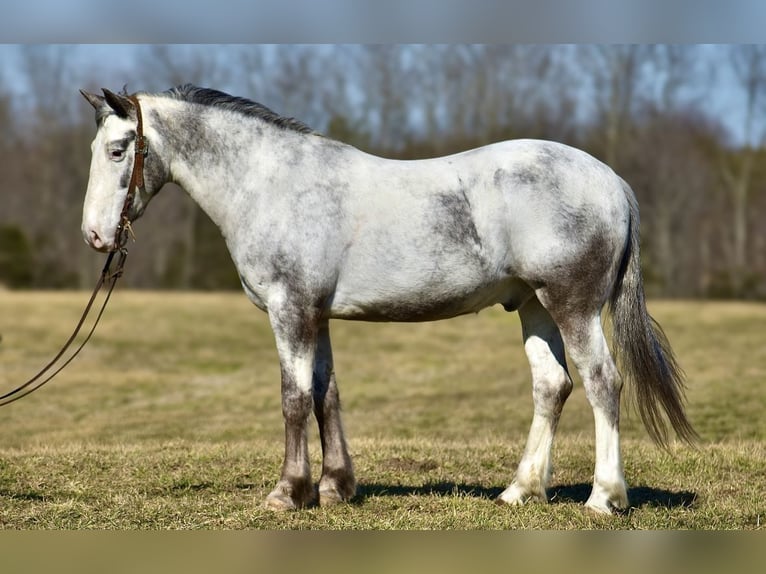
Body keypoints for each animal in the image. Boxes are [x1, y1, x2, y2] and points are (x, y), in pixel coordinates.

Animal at [81, 85, 700, 516]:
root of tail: (611, 182)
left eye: (117, 150)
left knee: (602, 382)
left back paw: (603, 497)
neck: (272, 183)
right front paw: (334, 488)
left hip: (573, 306)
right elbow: (326, 395)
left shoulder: (290, 310)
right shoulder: (317, 315)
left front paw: (288, 493)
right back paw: (519, 491)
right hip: (534, 307)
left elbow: (293, 399)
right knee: (553, 385)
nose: (95, 236)